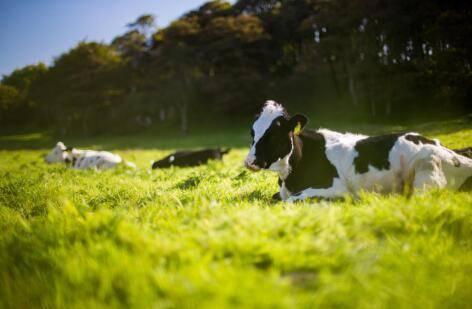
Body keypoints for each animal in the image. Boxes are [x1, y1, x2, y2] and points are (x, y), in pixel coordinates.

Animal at [243, 100, 472, 201]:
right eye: (252, 132)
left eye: (274, 133)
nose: (249, 161)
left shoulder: (335, 187)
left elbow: (291, 200)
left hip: (427, 170)